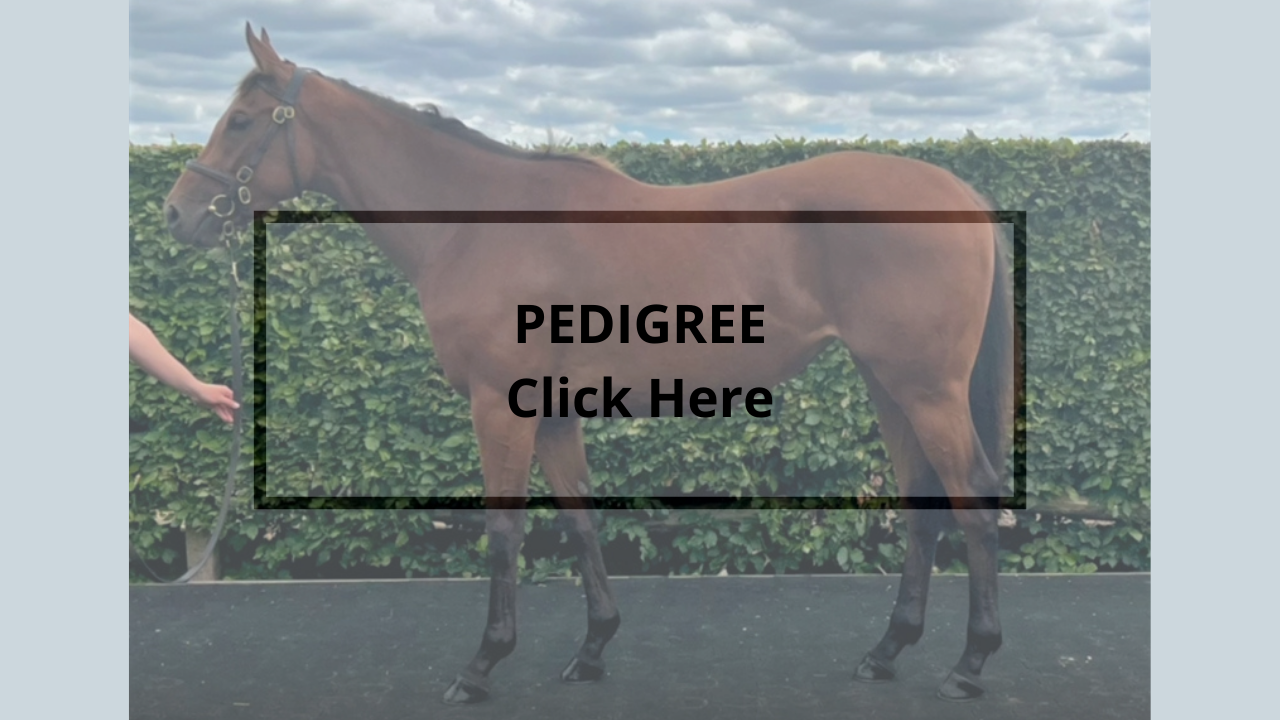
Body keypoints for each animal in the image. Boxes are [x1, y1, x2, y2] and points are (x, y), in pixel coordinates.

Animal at [162, 24, 1017, 705]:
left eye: (242, 120)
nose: (177, 214)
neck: (477, 224)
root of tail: (965, 195)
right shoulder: (550, 408)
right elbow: (577, 519)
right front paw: (594, 647)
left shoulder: (497, 404)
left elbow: (505, 530)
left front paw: (483, 664)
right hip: (888, 383)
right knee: (922, 500)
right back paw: (888, 650)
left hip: (924, 387)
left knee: (971, 497)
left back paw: (972, 663)